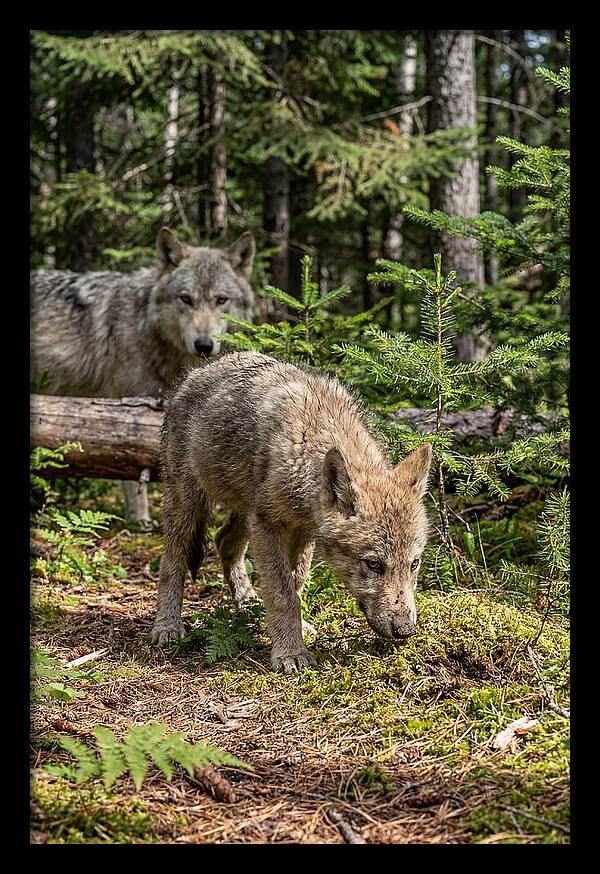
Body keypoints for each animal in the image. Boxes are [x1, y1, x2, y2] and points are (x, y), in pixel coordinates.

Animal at [30, 228, 256, 525]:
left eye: (221, 300)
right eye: (186, 299)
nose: (204, 345)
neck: (146, 325)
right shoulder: (126, 408)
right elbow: (131, 472)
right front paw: (140, 521)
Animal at [152, 351, 432, 674]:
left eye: (414, 564)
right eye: (374, 564)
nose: (405, 630)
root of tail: (196, 373)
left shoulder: (302, 532)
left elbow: (296, 584)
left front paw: (295, 631)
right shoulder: (269, 526)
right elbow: (283, 593)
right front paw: (290, 653)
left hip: (245, 514)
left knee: (224, 541)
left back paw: (248, 604)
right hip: (188, 505)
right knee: (172, 559)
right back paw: (167, 626)